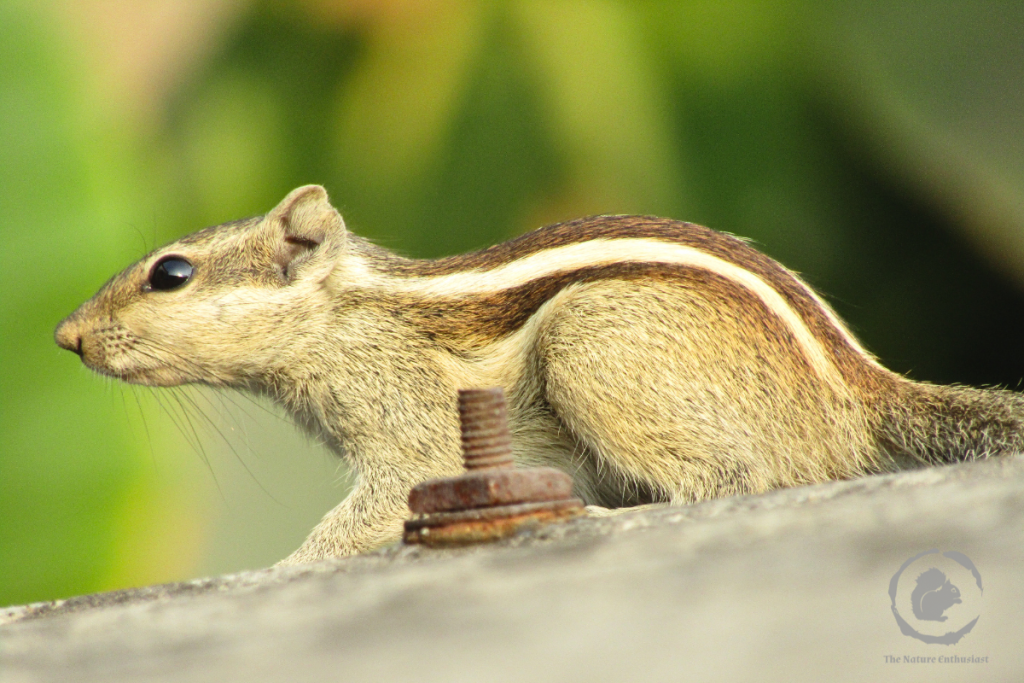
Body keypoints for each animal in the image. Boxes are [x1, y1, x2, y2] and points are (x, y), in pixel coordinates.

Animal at [55, 185, 1024, 564]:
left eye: (172, 273)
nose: (67, 336)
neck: (346, 312)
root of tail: (860, 394)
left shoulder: (406, 418)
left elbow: (380, 499)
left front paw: (291, 563)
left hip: (590, 338)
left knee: (736, 479)